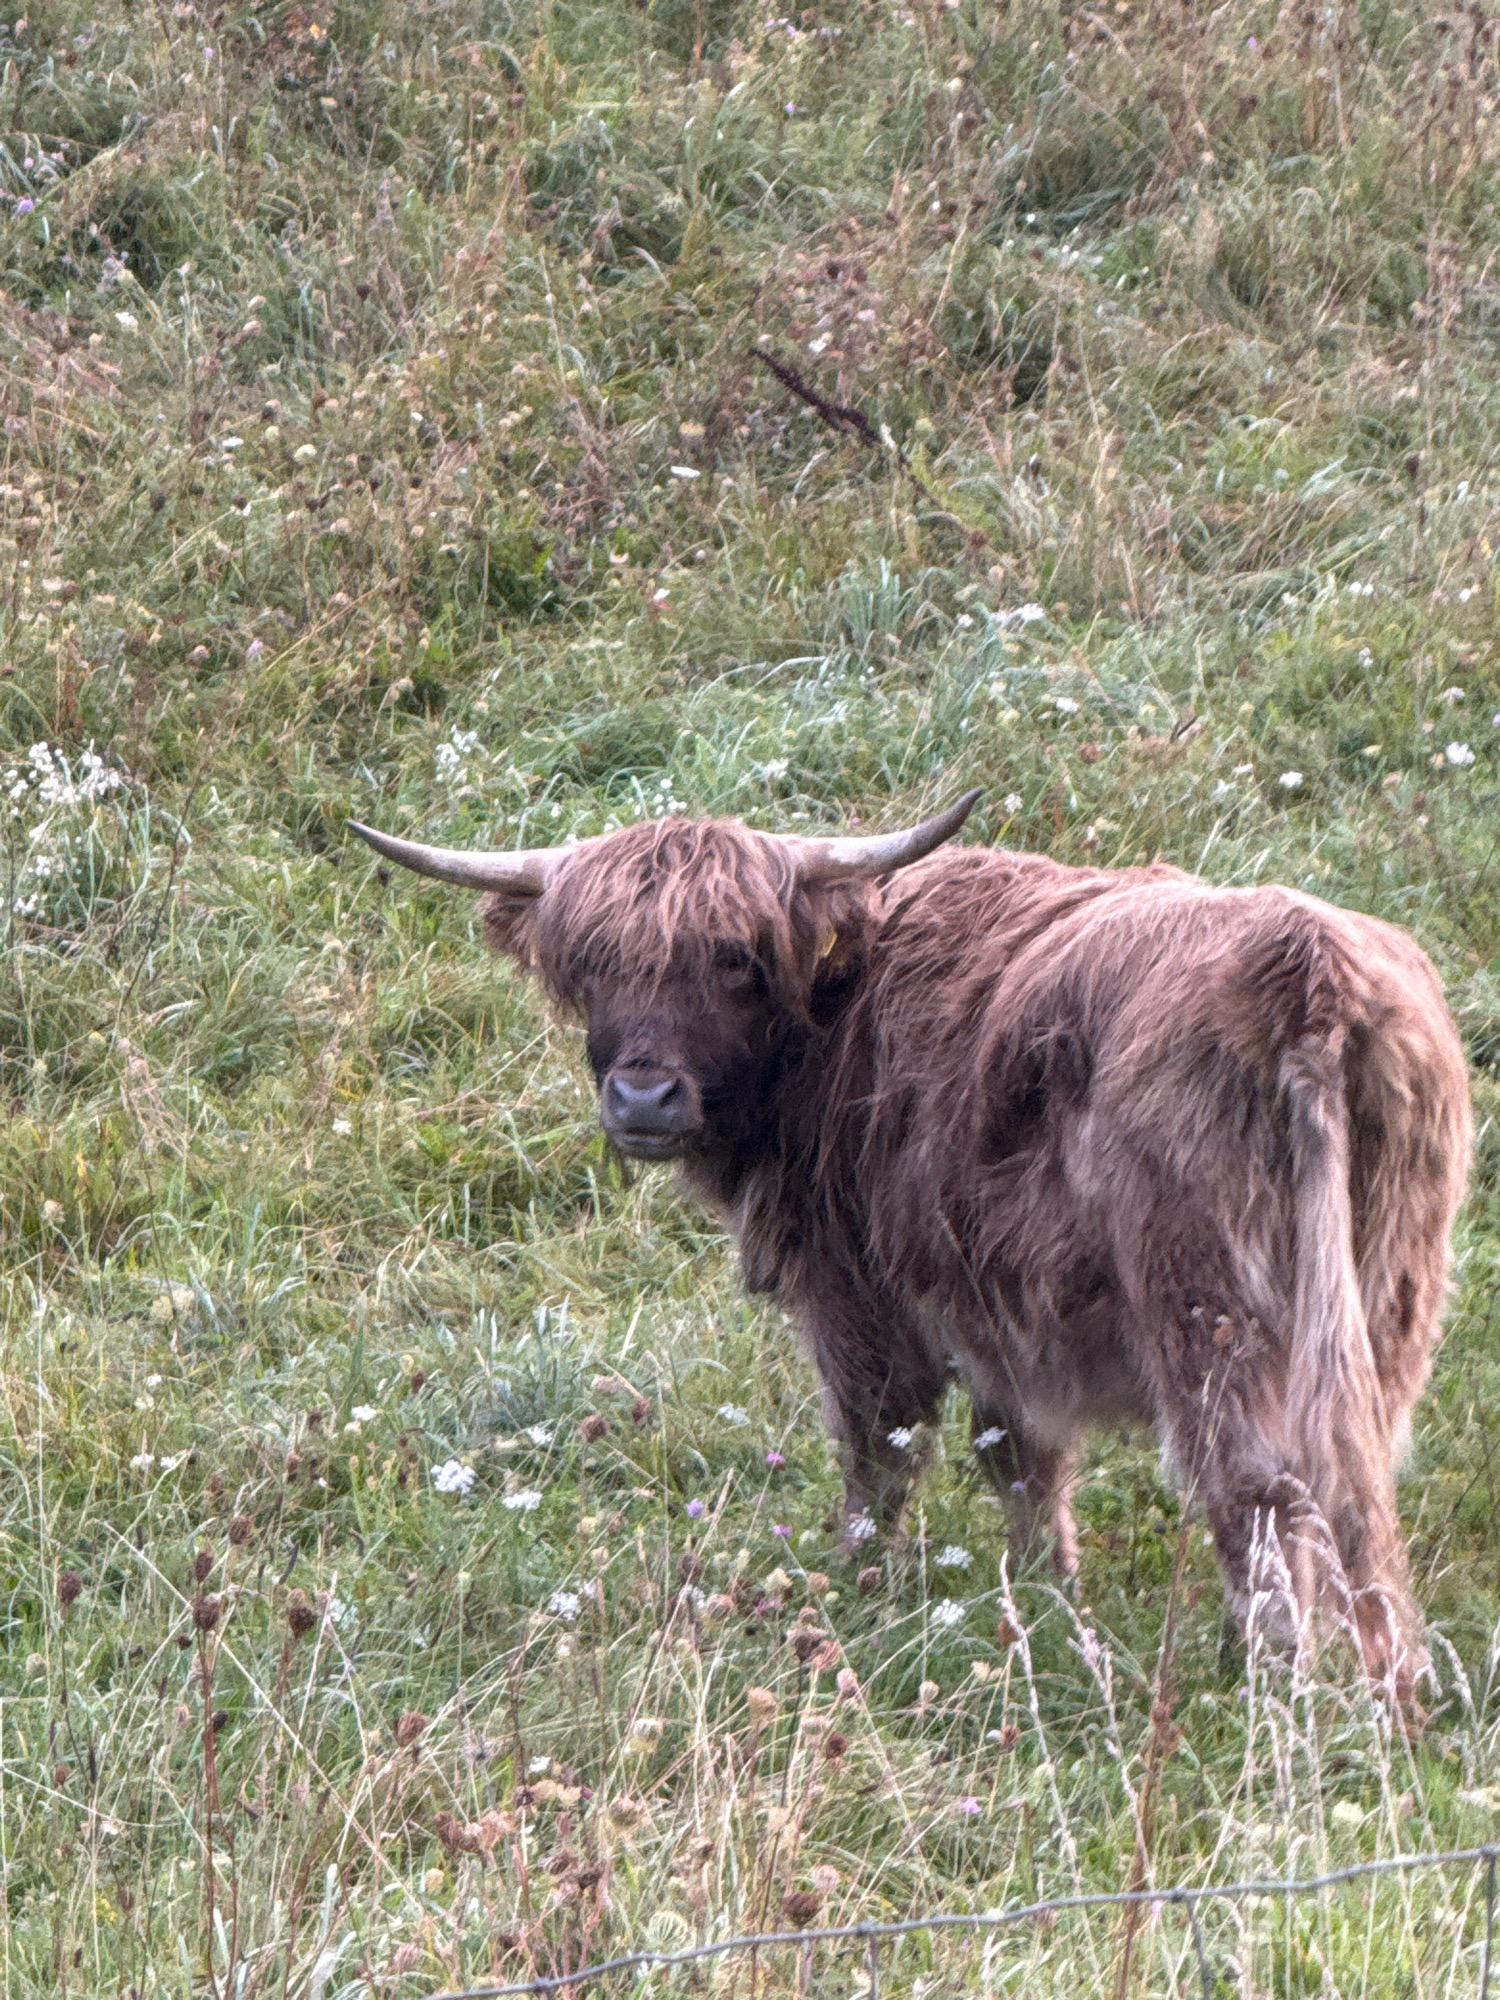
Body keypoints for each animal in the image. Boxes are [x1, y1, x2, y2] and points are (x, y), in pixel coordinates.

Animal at [350, 795, 1471, 1698]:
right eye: (588, 965)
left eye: (736, 959)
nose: (642, 1096)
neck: (833, 1022)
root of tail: (1305, 977)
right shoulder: (1005, 1318)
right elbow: (1020, 1462)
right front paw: (1048, 1596)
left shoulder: (861, 1296)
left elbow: (879, 1450)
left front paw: (861, 1586)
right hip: (1384, 1296)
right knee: (1350, 1482)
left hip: (1206, 1305)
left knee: (1257, 1486)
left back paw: (1273, 1683)